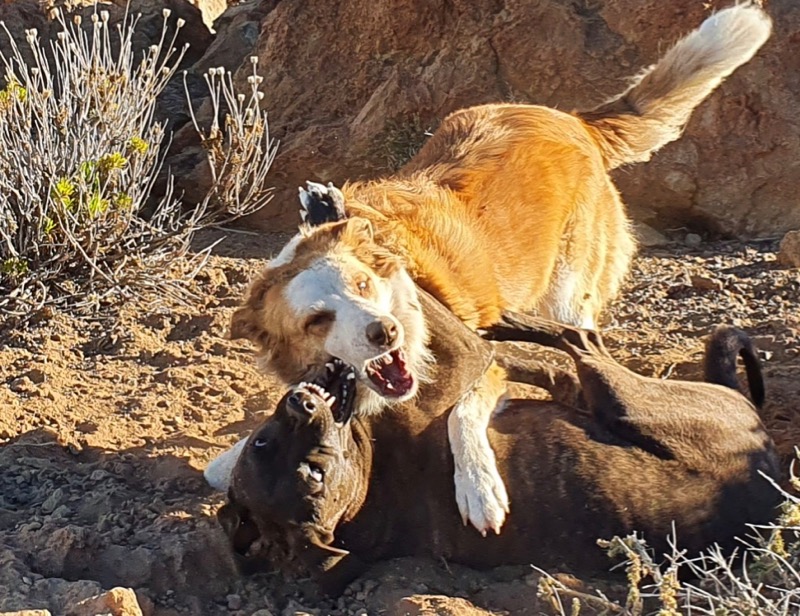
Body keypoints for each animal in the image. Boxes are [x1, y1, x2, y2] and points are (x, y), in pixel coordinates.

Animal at [208, 3, 776, 536]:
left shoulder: (482, 359)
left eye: (364, 285)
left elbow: (464, 409)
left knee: (583, 338)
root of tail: (572, 119)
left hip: (569, 291)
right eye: (316, 320)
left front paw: (479, 487)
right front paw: (233, 454)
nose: (384, 332)